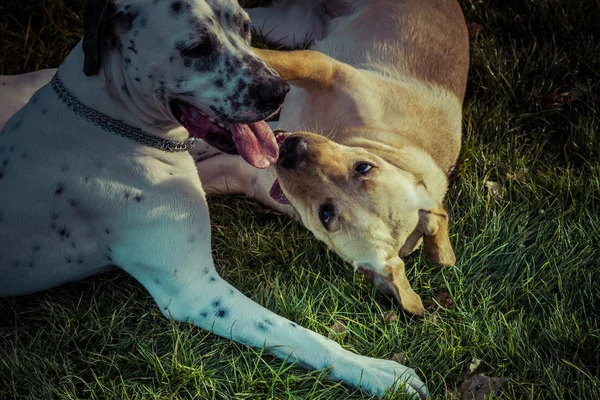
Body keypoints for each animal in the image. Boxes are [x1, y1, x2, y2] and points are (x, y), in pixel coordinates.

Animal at [0, 0, 426, 400]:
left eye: (245, 26)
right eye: (196, 48)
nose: (278, 91)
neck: (108, 120)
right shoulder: (195, 290)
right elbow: (298, 333)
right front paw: (377, 372)